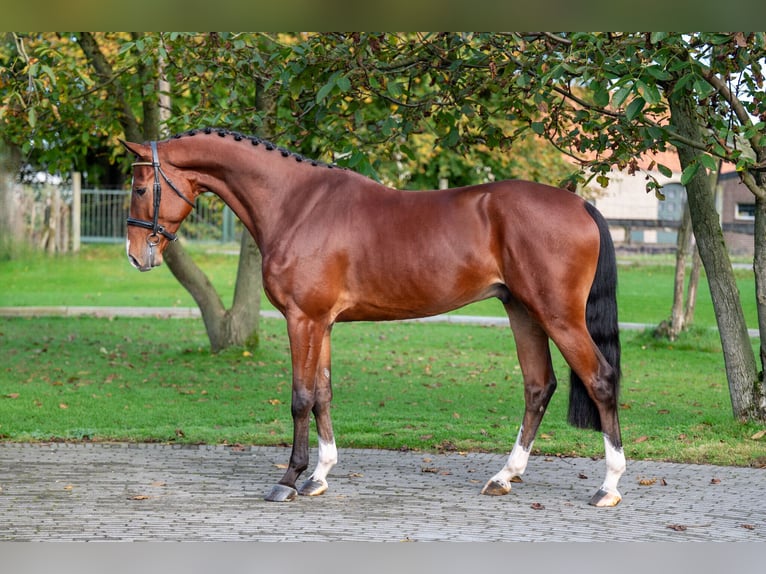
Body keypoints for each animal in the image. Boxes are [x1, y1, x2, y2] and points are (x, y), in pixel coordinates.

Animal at [120, 129, 628, 508]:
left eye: (141, 188)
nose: (136, 256)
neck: (296, 205)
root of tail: (578, 204)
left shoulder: (302, 320)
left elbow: (300, 398)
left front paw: (288, 480)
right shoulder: (321, 324)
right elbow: (323, 394)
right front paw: (319, 476)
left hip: (557, 315)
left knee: (600, 379)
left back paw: (608, 486)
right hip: (523, 311)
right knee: (538, 386)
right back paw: (504, 476)